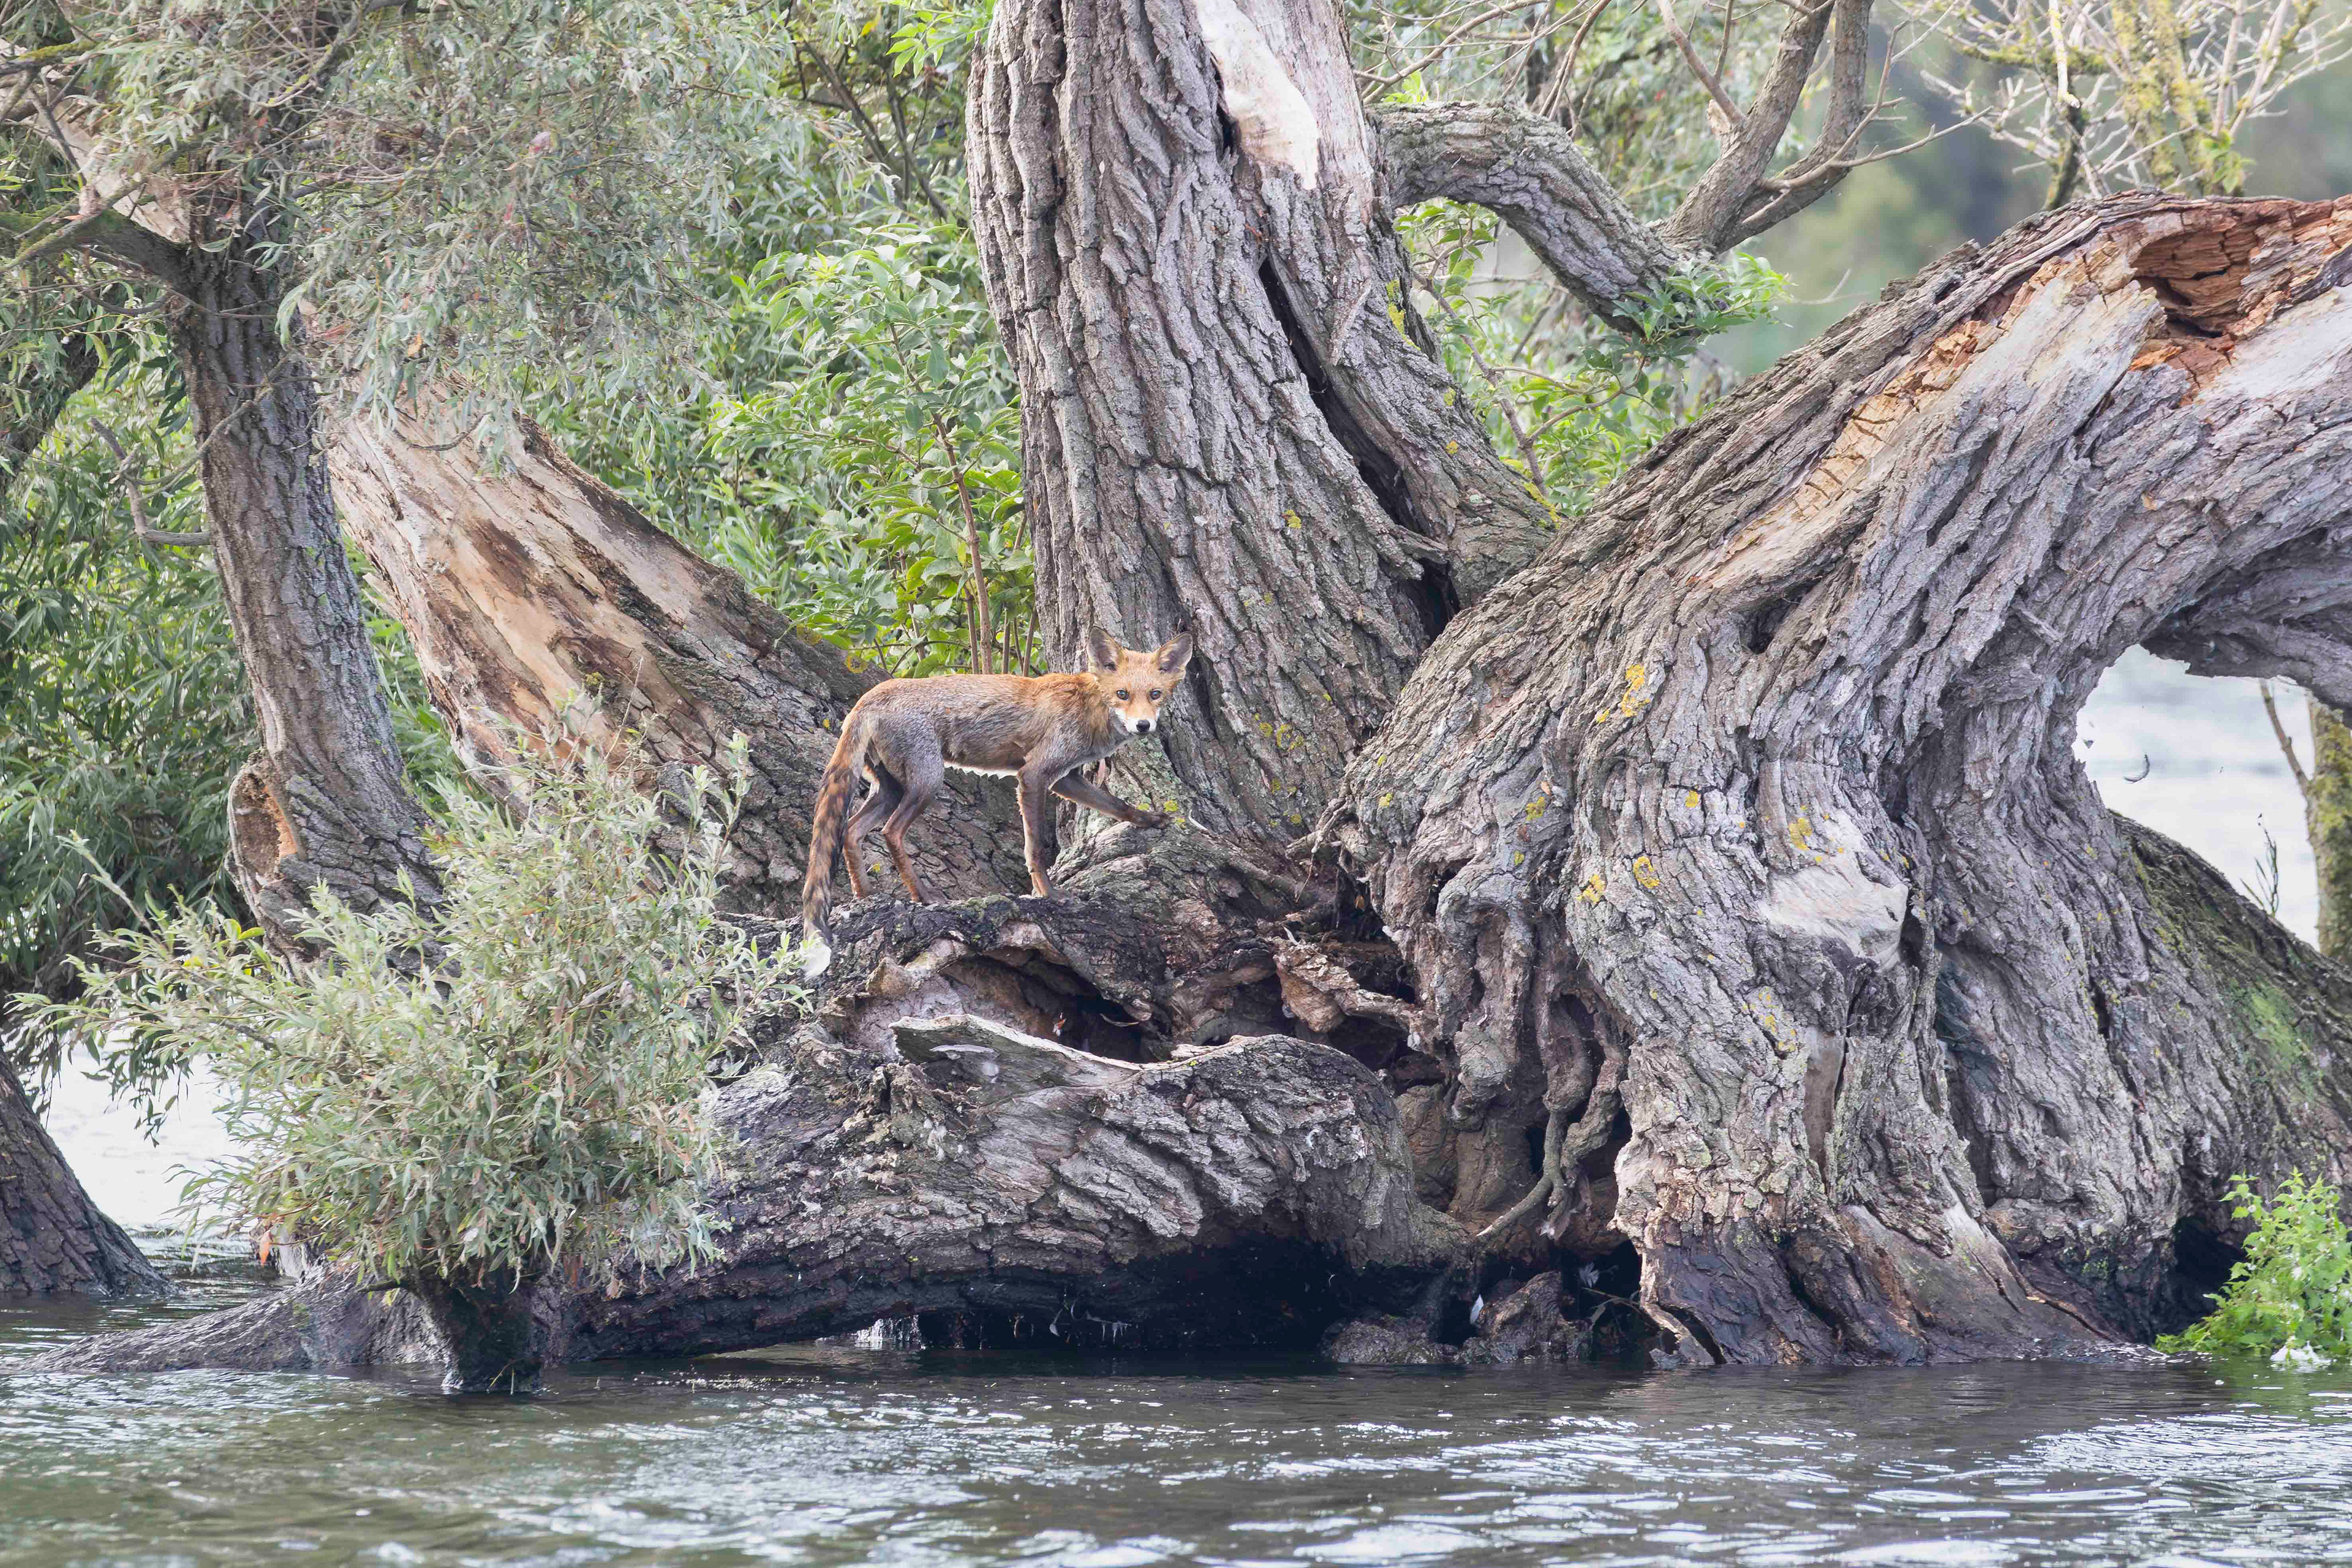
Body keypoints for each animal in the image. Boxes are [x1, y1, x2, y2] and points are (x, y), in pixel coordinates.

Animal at [799, 627, 1195, 978]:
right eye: (1123, 694)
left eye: (1155, 694)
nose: (1143, 726)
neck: (1088, 707)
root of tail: (870, 695)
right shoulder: (1034, 775)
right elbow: (1035, 848)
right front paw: (1047, 894)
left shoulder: (1066, 778)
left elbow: (1116, 805)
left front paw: (1150, 820)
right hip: (928, 781)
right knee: (890, 832)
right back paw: (923, 896)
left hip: (892, 788)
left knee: (851, 832)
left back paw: (865, 896)